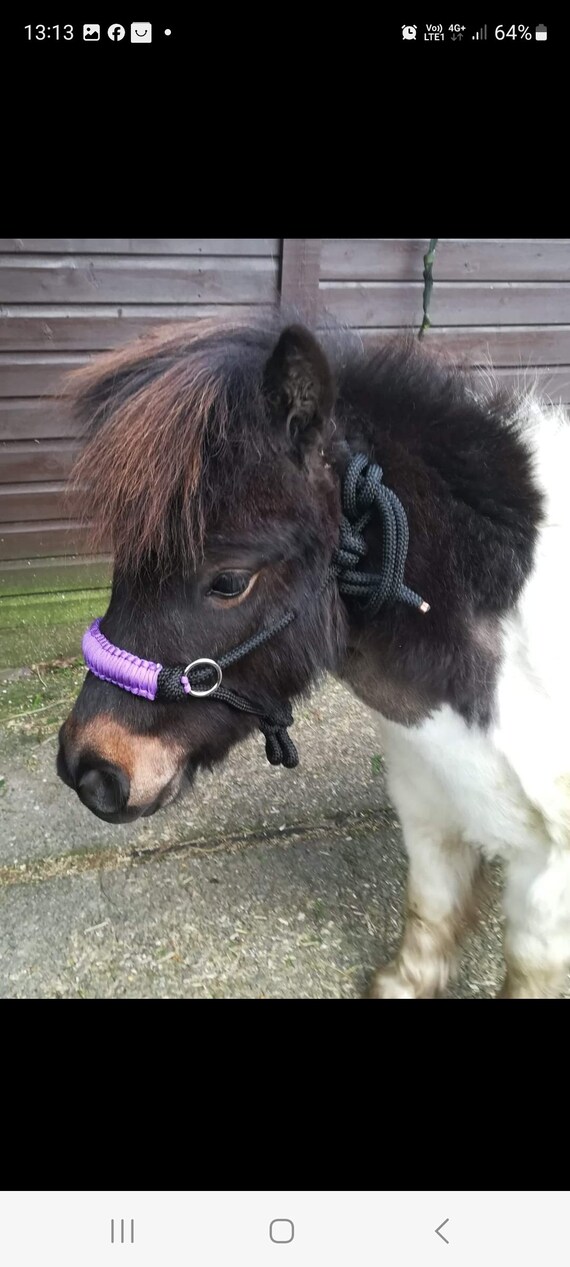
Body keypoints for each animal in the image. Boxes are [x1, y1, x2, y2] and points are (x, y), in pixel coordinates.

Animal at [57, 313, 570, 999]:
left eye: (228, 581)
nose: (90, 771)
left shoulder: (548, 881)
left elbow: (528, 965)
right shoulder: (431, 805)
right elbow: (431, 908)